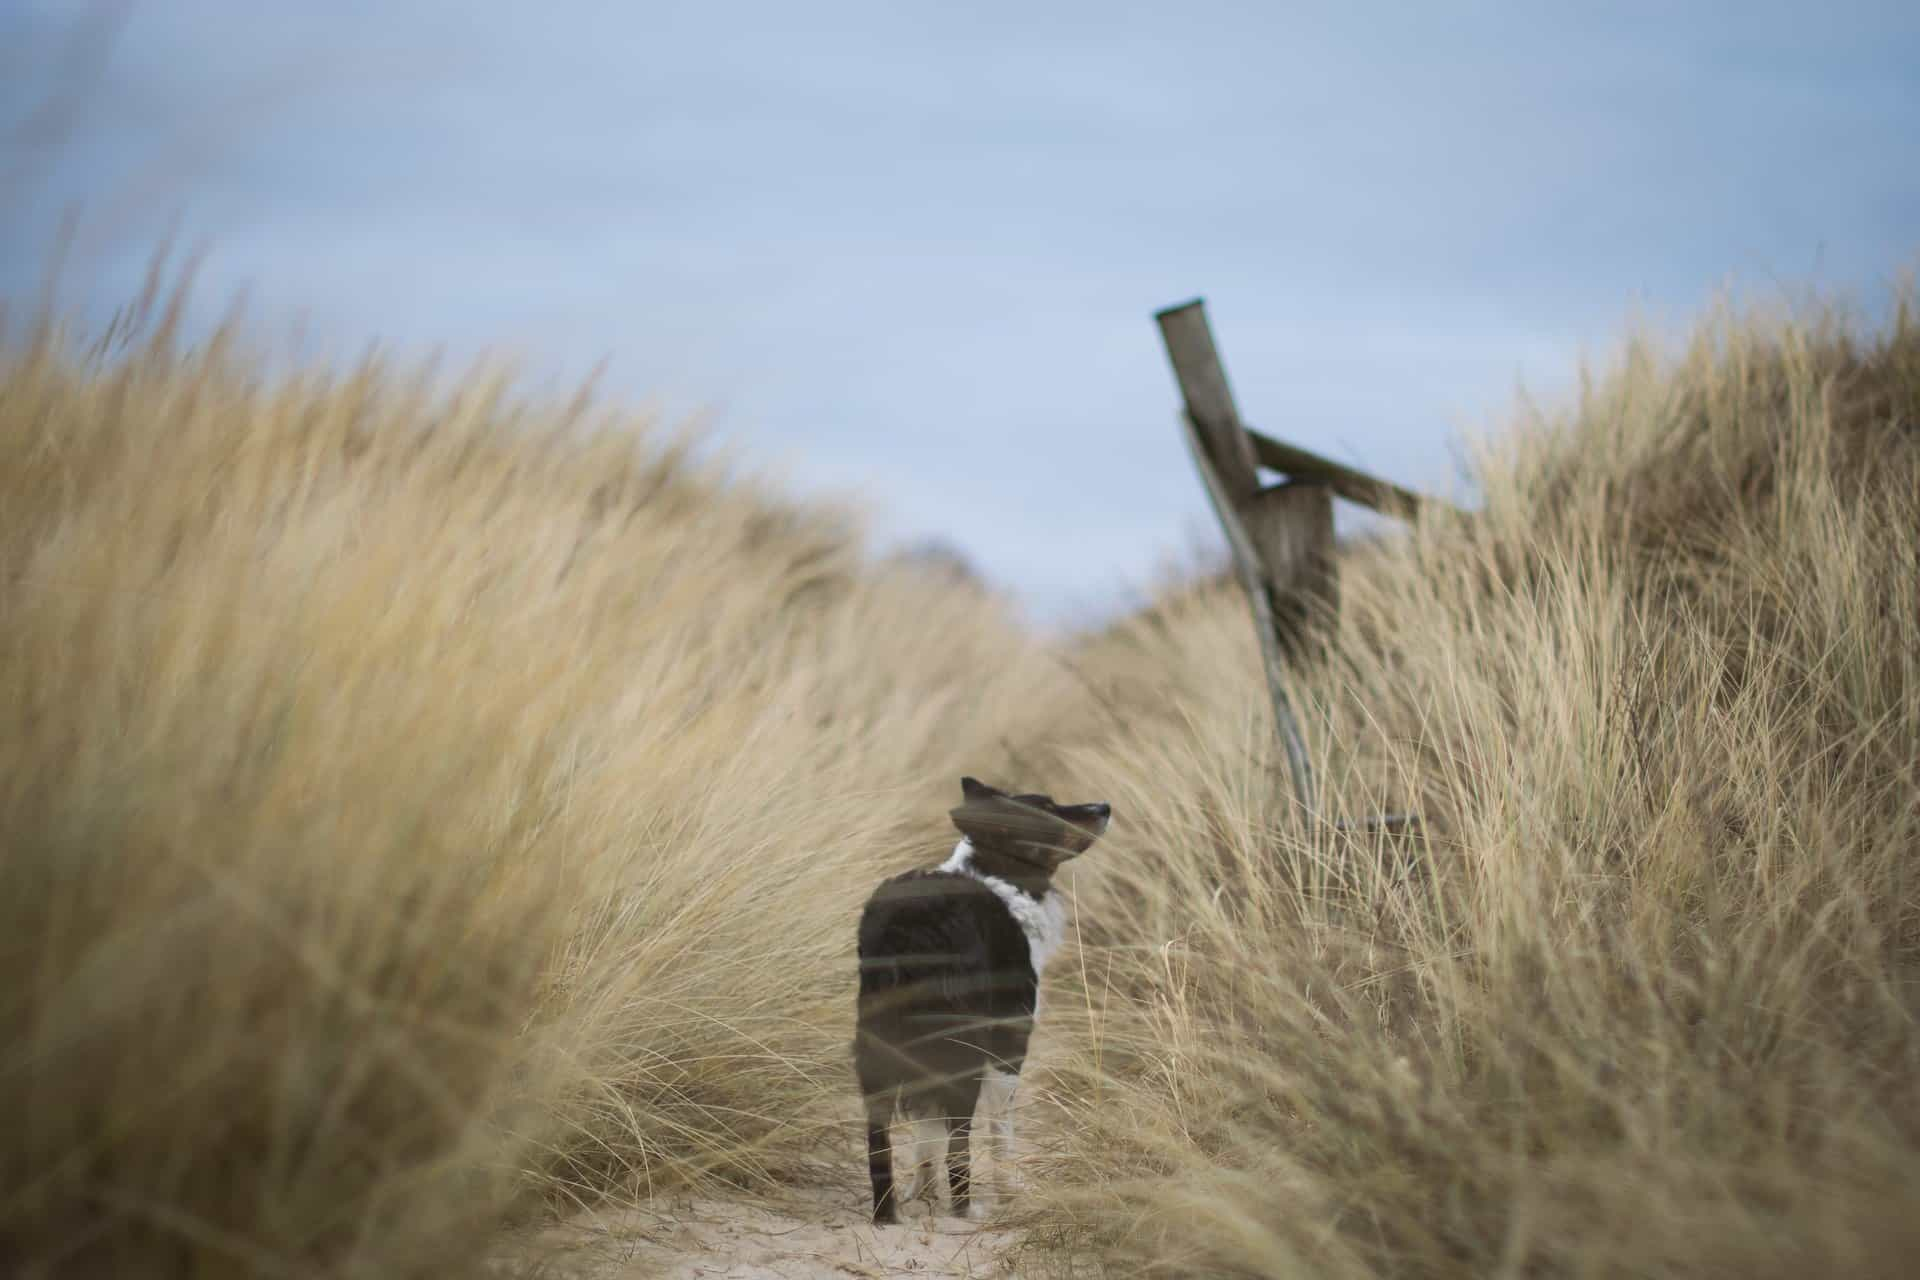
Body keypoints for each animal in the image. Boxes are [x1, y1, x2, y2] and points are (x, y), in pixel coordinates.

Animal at [856, 775, 1113, 1228]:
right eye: (1048, 809)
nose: (1105, 807)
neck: (1000, 874)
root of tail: (911, 927)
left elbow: (925, 1133)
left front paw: (922, 1190)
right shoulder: (1010, 1043)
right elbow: (999, 1129)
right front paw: (1008, 1193)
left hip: (876, 1045)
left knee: (879, 1140)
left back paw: (886, 1213)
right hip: (966, 1044)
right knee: (960, 1135)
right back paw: (965, 1208)